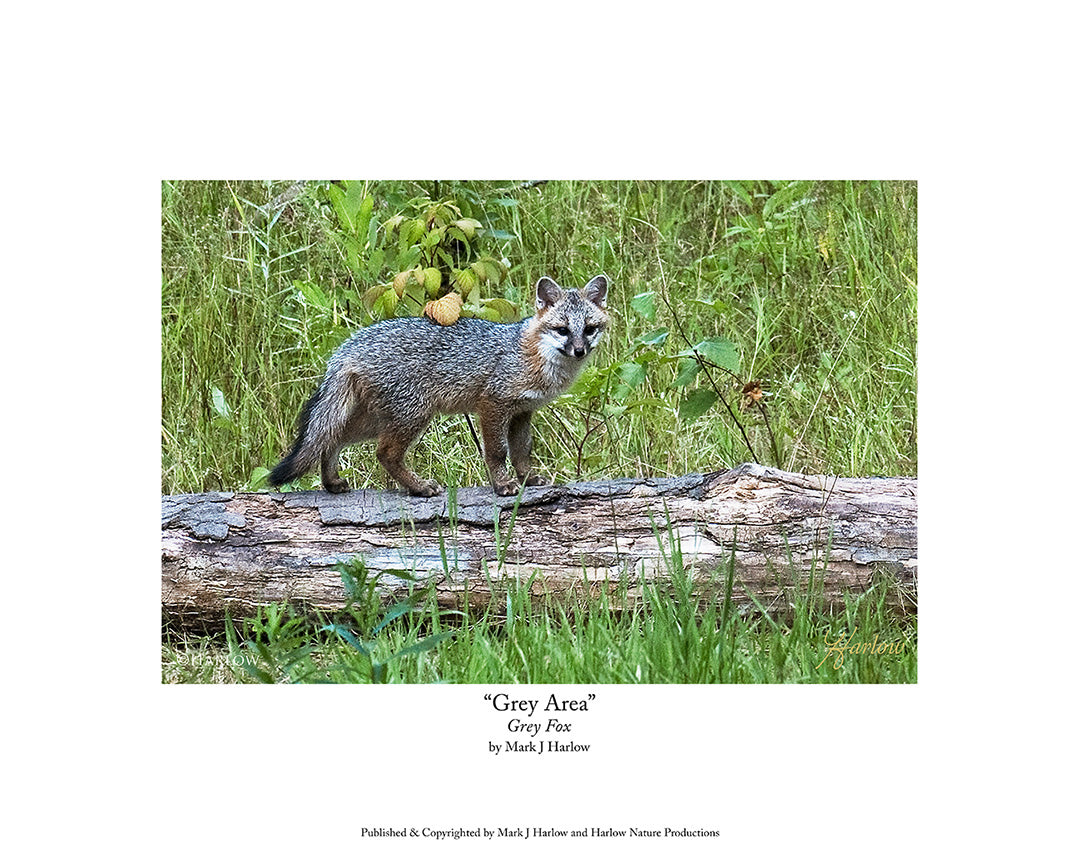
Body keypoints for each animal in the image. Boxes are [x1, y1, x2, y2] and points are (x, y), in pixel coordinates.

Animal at [268, 274, 609, 497]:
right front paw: (502, 485)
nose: (580, 351)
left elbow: (522, 451)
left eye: (589, 329)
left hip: (376, 419)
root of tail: (348, 347)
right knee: (384, 453)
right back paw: (419, 487)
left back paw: (332, 483)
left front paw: (528, 479)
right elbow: (497, 451)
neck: (533, 357)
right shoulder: (493, 405)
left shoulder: (523, 412)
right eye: (562, 330)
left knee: (331, 439)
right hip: (413, 415)